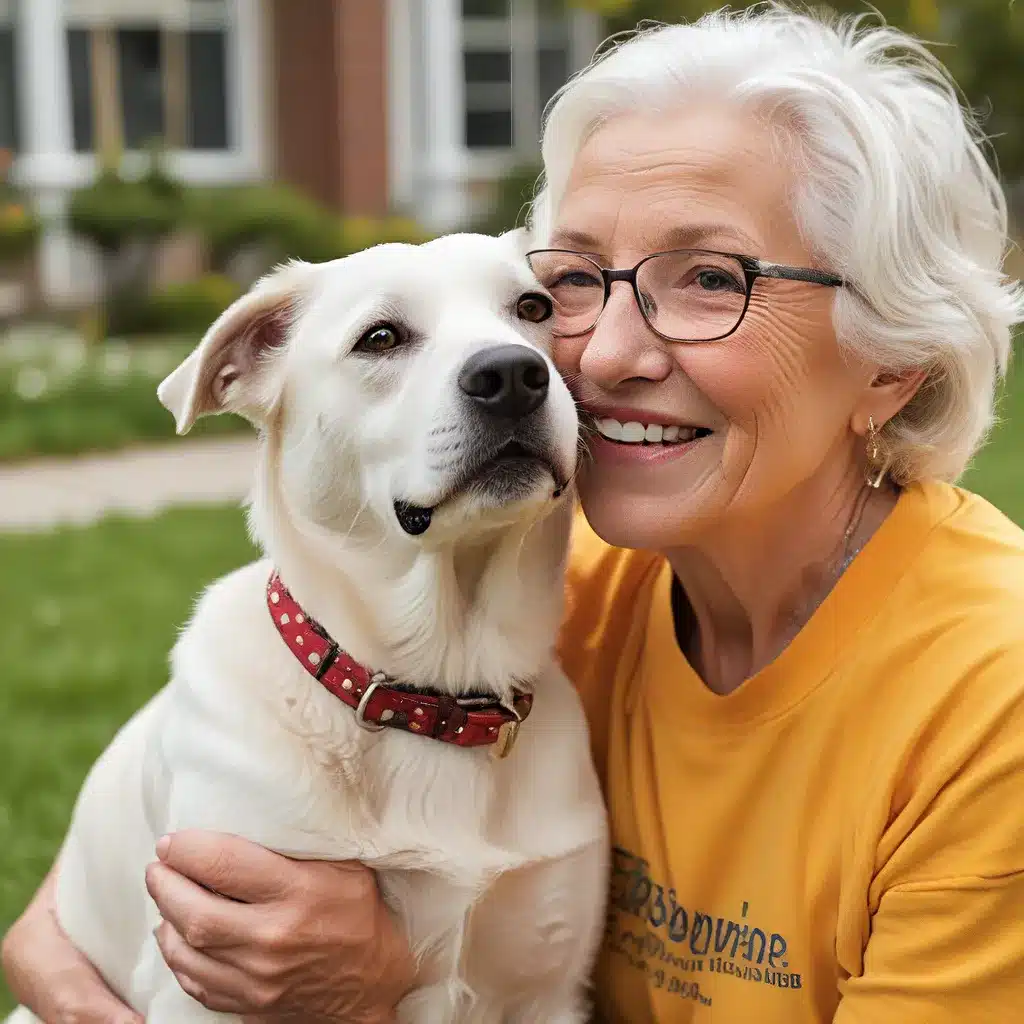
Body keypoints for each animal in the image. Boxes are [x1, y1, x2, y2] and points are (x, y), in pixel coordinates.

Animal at [6, 234, 606, 1024]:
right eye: (380, 338)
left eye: (535, 308)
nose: (512, 374)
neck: (432, 693)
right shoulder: (203, 976)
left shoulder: (547, 989)